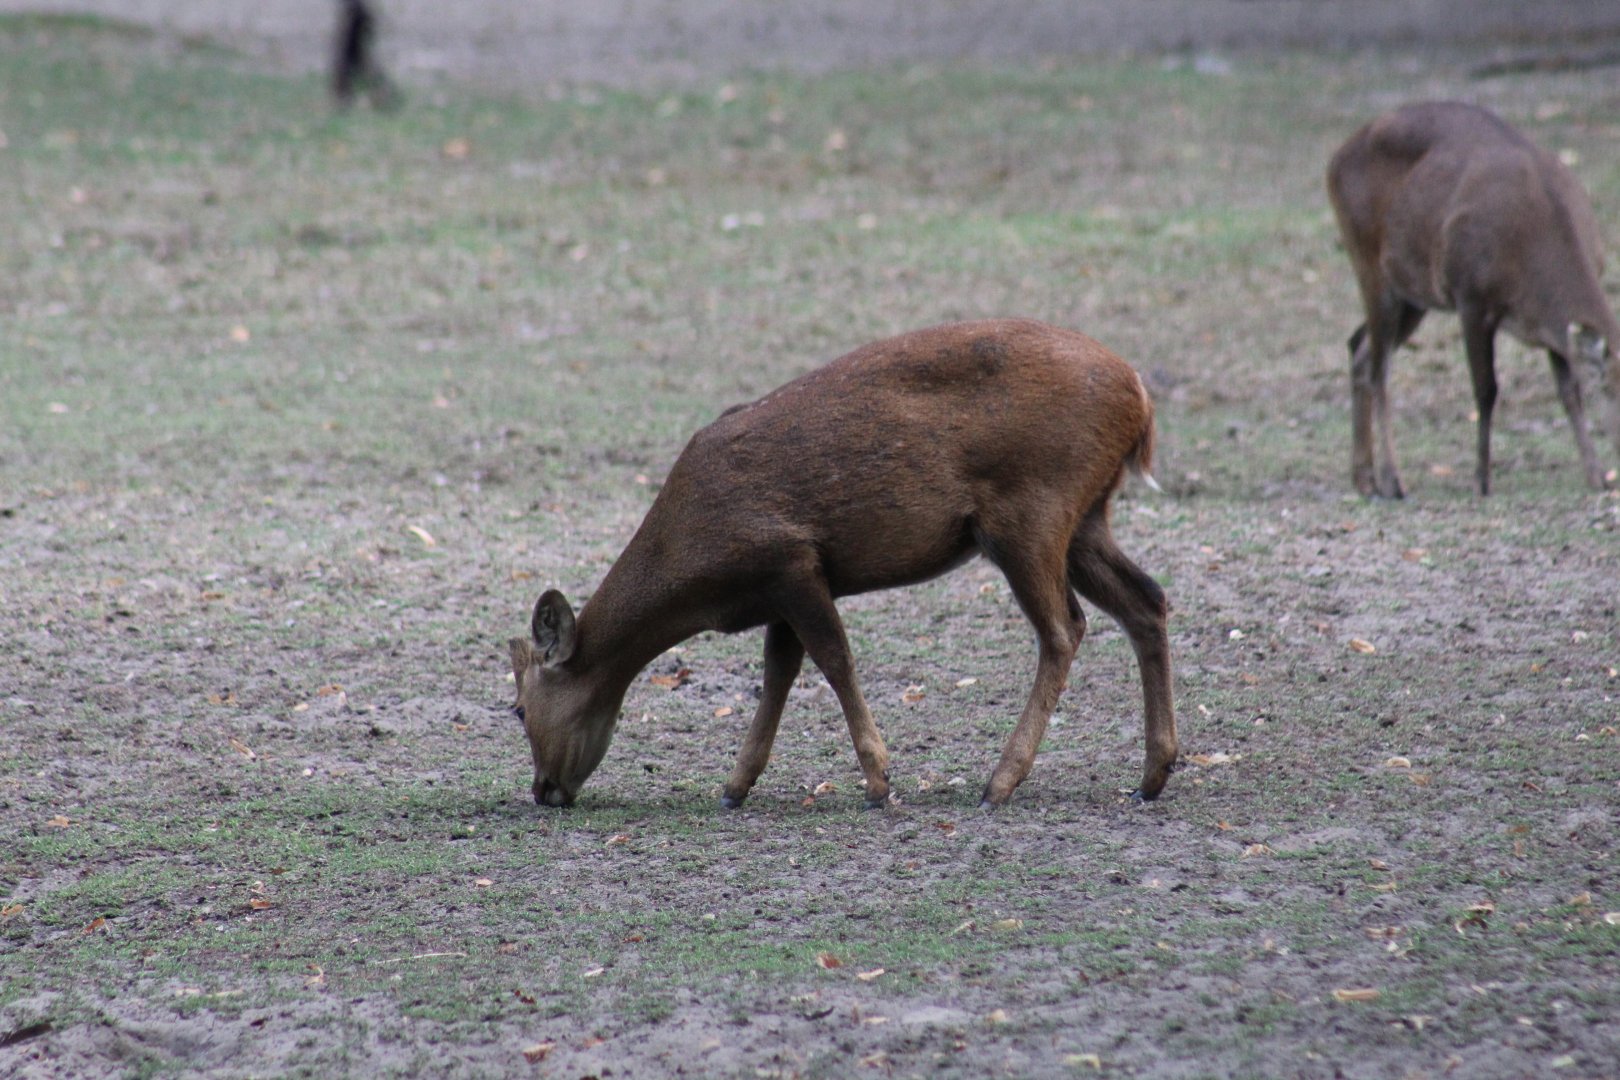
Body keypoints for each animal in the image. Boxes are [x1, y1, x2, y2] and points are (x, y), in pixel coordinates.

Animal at [507, 319, 1177, 812]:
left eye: (517, 708)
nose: (543, 791)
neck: (699, 568)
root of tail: (1140, 400)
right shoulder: (779, 589)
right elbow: (779, 671)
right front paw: (735, 785)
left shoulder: (790, 559)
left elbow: (833, 660)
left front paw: (880, 782)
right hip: (1086, 517)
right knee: (1147, 600)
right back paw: (1153, 773)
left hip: (1031, 511)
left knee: (1064, 629)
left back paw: (1001, 782)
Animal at [1326, 100, 1620, 497]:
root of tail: (1334, 159)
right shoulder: (1471, 296)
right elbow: (1486, 389)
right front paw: (1482, 479)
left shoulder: (1553, 328)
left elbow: (1569, 391)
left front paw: (1595, 474)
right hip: (1368, 261)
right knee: (1379, 370)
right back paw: (1392, 479)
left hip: (1413, 293)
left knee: (1359, 347)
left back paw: (1364, 478)